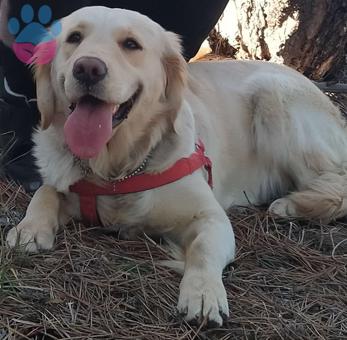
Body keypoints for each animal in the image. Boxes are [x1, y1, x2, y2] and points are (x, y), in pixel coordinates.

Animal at [6, 5, 347, 324]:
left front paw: (203, 292)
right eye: (74, 38)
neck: (118, 168)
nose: (87, 68)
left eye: (131, 44)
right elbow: (45, 192)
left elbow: (203, 250)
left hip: (273, 98)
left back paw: (291, 205)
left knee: (336, 184)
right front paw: (29, 228)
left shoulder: (210, 216)